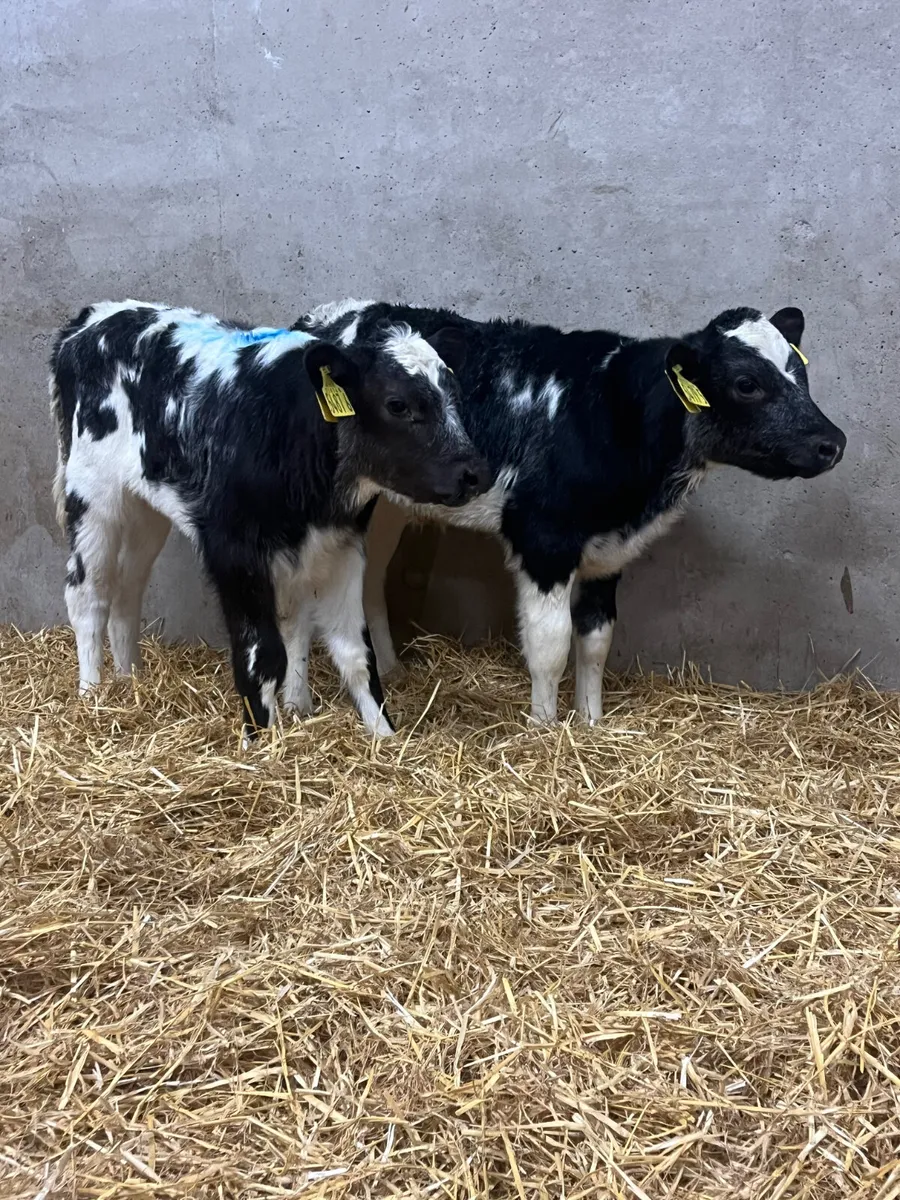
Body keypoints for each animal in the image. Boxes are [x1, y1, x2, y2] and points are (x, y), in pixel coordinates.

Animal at [50, 300, 490, 741]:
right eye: (398, 404)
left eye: (455, 396)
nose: (474, 474)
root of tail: (96, 316)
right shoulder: (232, 549)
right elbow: (263, 652)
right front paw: (260, 741)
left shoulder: (341, 544)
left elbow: (354, 652)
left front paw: (385, 737)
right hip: (92, 495)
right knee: (87, 593)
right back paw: (92, 697)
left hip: (144, 507)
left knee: (128, 589)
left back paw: (131, 682)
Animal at [297, 300, 847, 725]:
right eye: (746, 382)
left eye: (801, 370)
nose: (832, 443)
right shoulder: (543, 537)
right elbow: (551, 642)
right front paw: (545, 729)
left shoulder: (608, 550)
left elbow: (597, 637)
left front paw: (592, 722)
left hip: (387, 504)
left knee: (371, 578)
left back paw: (391, 668)